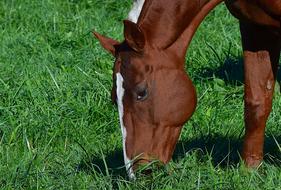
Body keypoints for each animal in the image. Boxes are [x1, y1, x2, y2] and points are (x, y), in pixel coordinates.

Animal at [93, 0, 280, 178]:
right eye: (114, 99)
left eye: (142, 93)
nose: (137, 171)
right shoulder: (254, 28)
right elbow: (256, 104)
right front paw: (250, 170)